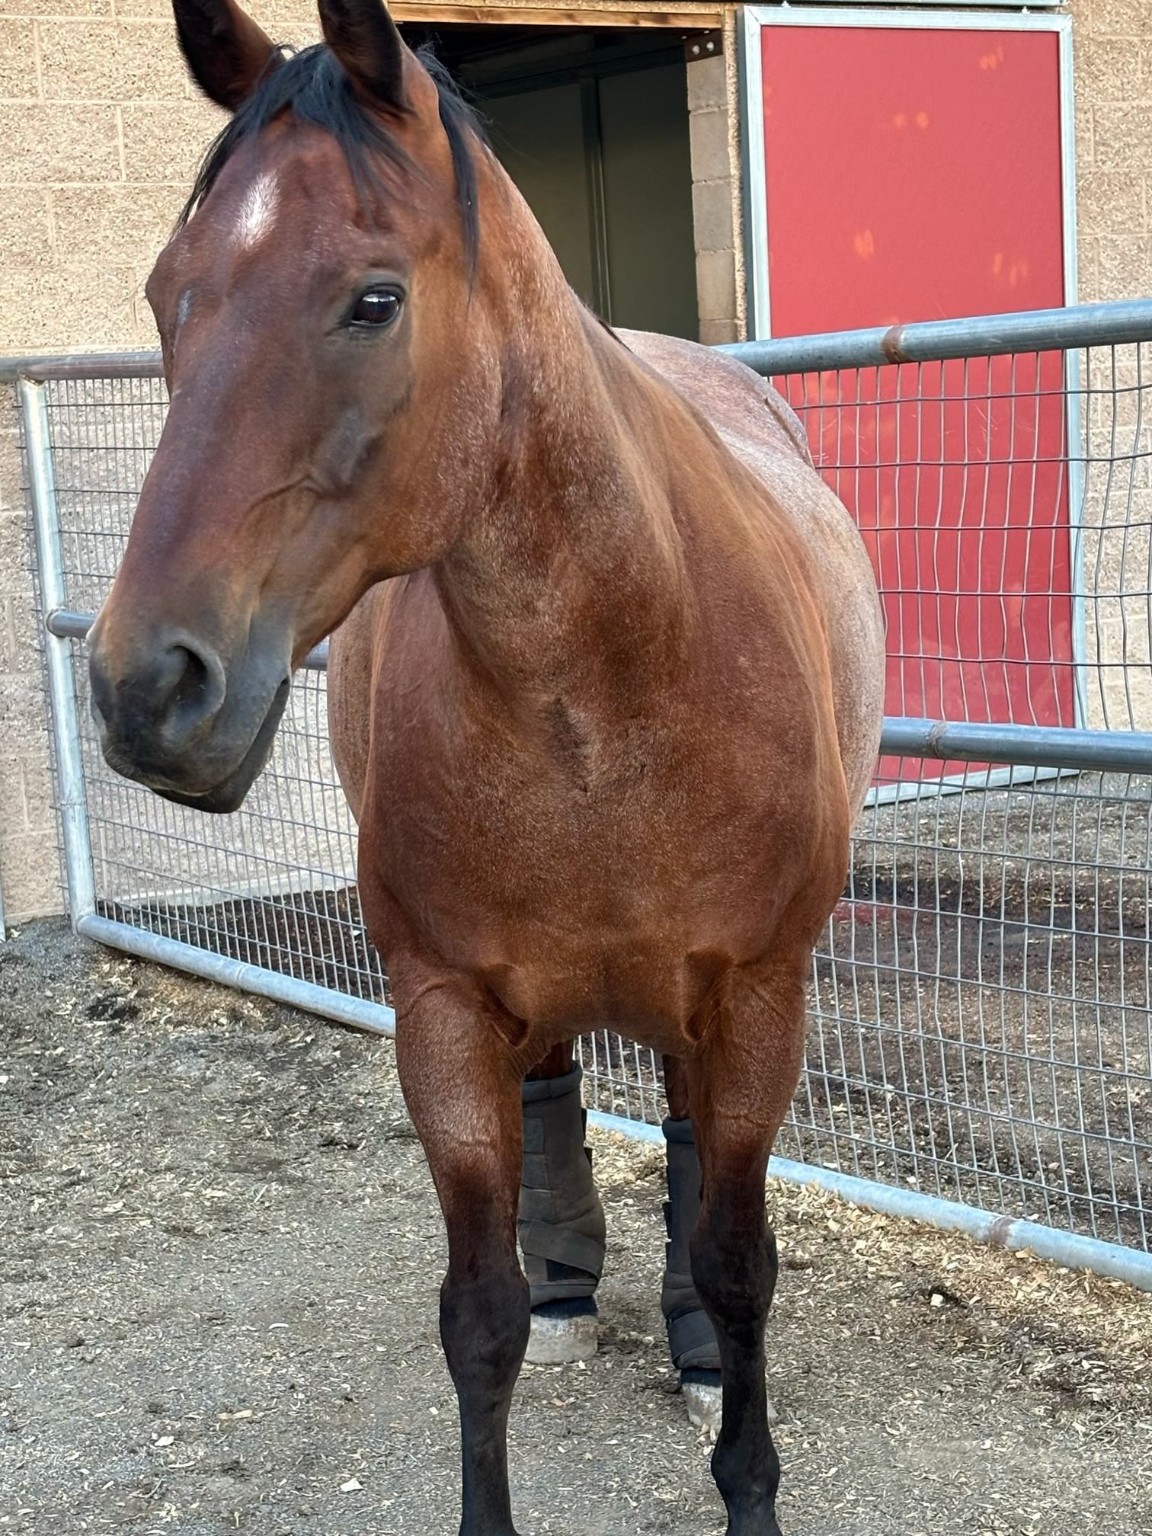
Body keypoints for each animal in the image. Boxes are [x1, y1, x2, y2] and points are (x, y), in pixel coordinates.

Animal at [87, 1, 885, 1530]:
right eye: (168, 296)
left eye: (374, 300)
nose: (146, 689)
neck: (620, 678)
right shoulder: (445, 1015)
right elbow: (478, 1316)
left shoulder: (760, 999)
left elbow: (742, 1268)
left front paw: (745, 1475)